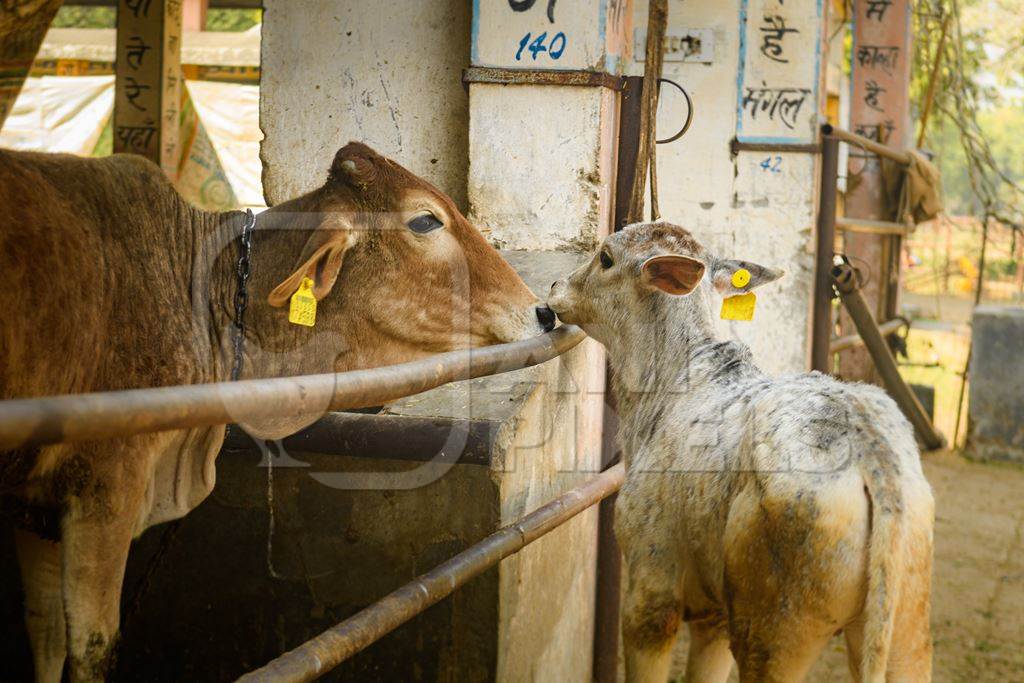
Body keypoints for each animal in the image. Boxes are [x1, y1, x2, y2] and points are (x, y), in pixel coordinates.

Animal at [0, 141, 552, 679]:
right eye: (424, 221)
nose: (543, 312)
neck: (200, 293)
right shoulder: (107, 487)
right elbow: (89, 648)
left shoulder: (36, 507)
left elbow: (45, 636)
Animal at [548, 222, 933, 679]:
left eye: (605, 257)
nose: (555, 287)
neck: (668, 383)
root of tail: (871, 449)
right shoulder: (714, 616)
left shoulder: (651, 589)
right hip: (906, 628)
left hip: (772, 632)